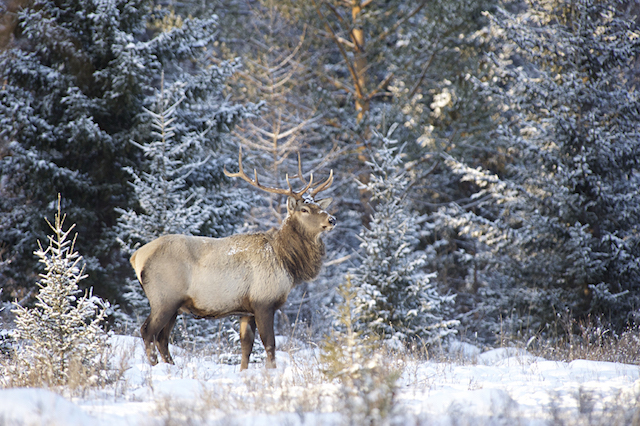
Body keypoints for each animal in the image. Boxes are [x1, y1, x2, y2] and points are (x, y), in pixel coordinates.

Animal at [127, 149, 332, 370]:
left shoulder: (246, 310)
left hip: (173, 305)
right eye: (304, 210)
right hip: (164, 297)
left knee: (162, 338)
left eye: (319, 206)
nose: (332, 219)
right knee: (148, 331)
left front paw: (243, 371)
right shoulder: (263, 301)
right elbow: (269, 344)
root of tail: (136, 257)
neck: (287, 262)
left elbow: (246, 346)